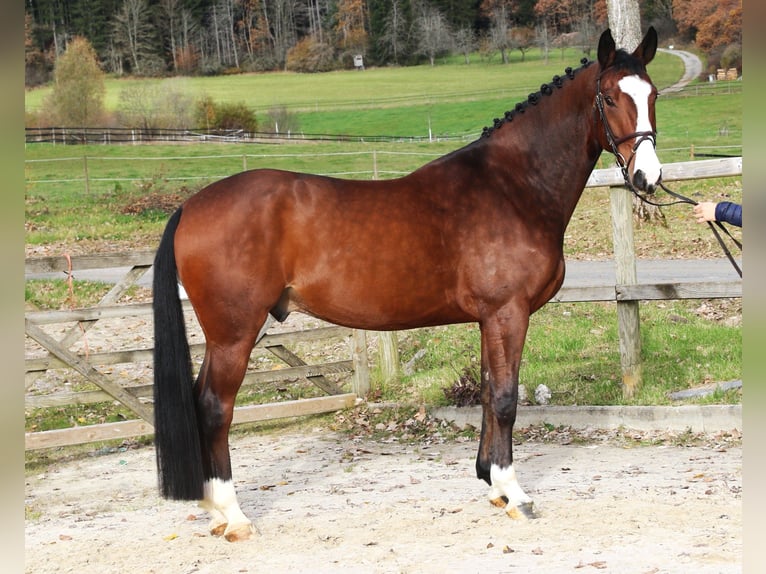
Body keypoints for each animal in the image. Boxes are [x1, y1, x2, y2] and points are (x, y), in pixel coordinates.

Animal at [152, 27, 661, 542]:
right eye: (609, 97)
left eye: (653, 94)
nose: (648, 176)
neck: (513, 185)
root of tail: (191, 207)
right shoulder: (508, 313)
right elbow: (505, 399)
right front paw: (515, 494)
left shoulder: (488, 319)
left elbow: (486, 392)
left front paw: (492, 485)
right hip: (234, 334)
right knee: (215, 407)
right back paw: (233, 514)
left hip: (224, 337)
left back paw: (214, 509)